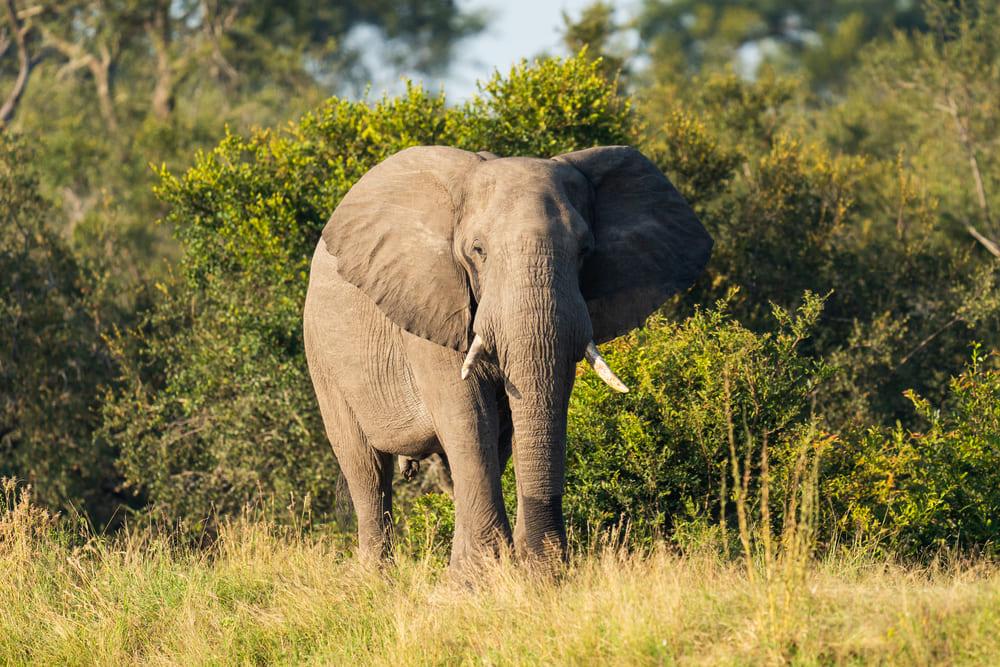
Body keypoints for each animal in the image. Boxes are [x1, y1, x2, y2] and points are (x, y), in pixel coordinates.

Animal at [303, 145, 712, 568]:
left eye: (585, 251)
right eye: (478, 251)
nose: (546, 565)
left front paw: (519, 572)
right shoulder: (432, 304)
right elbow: (467, 414)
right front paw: (482, 576)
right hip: (321, 353)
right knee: (366, 468)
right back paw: (374, 577)